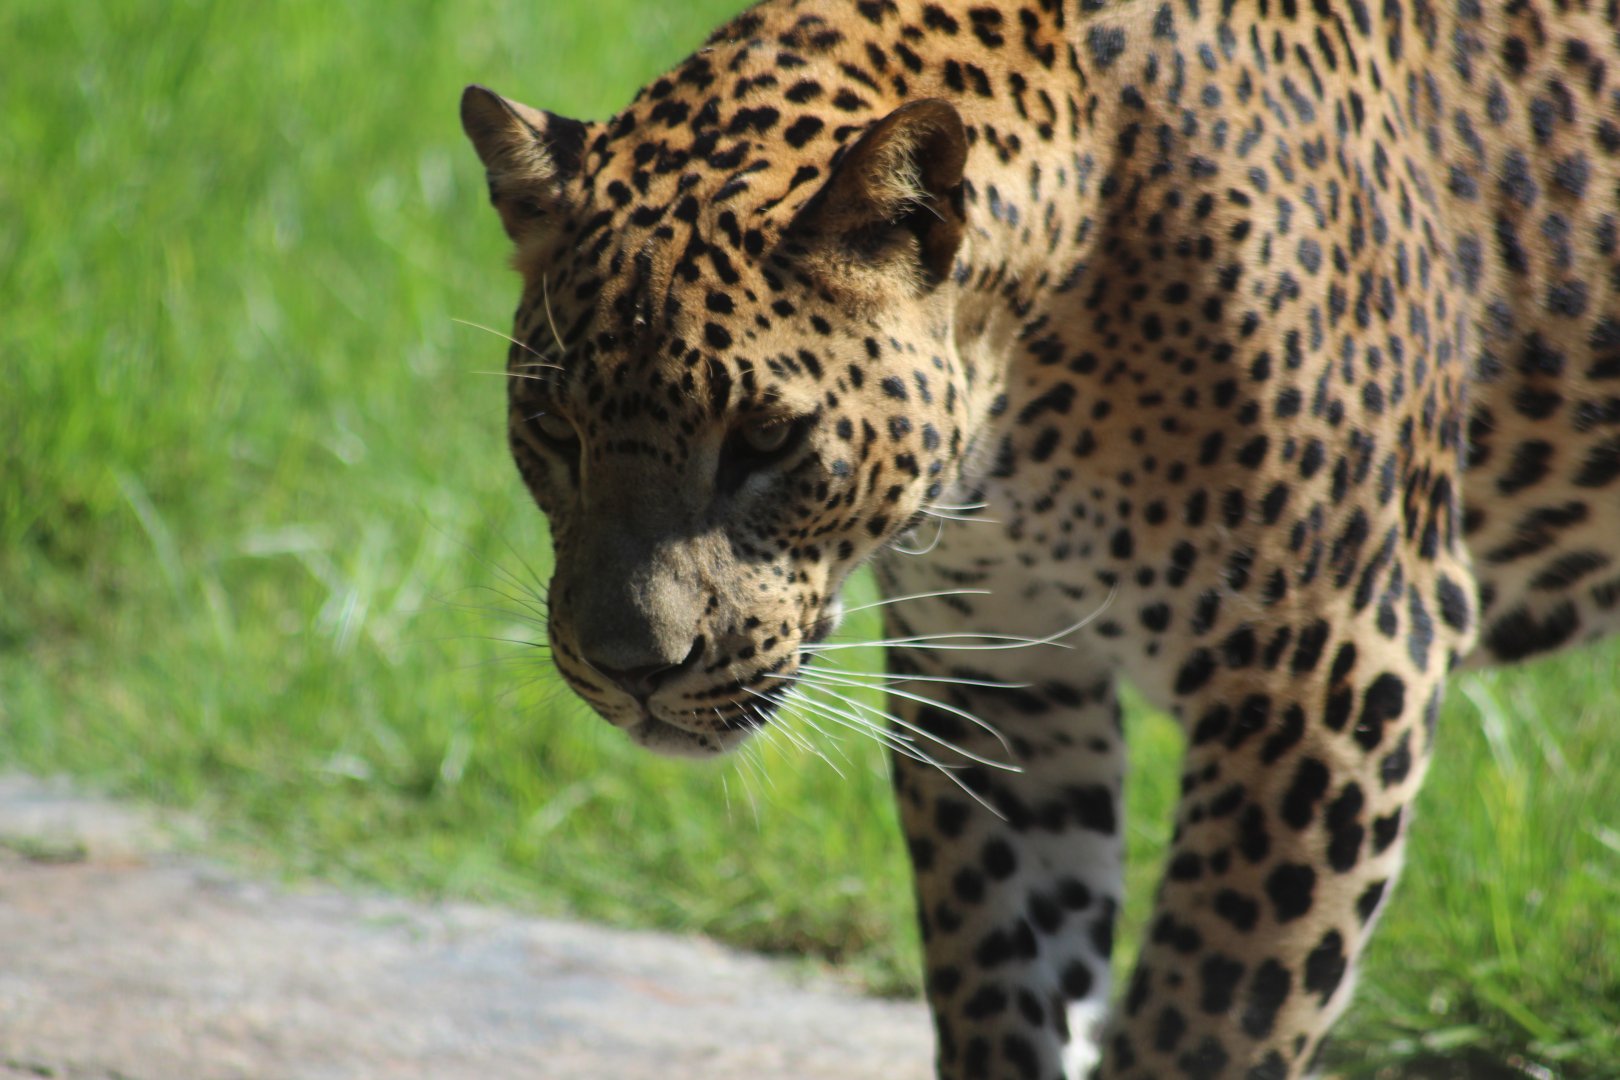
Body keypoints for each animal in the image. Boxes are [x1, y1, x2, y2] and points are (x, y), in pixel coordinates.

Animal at [457, 1, 1620, 1076]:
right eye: (554, 427)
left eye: (766, 440)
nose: (630, 670)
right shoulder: (996, 669)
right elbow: (1003, 976)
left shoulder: (1329, 666)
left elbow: (1203, 1021)